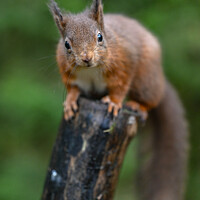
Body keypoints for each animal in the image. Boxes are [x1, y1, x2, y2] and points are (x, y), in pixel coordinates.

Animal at [48, 0, 189, 199]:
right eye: (67, 44)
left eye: (100, 37)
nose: (86, 58)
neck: (90, 70)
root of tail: (160, 77)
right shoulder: (66, 70)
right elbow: (73, 89)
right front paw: (70, 101)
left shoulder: (124, 62)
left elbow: (120, 86)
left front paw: (114, 102)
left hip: (146, 80)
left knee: (151, 98)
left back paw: (138, 105)